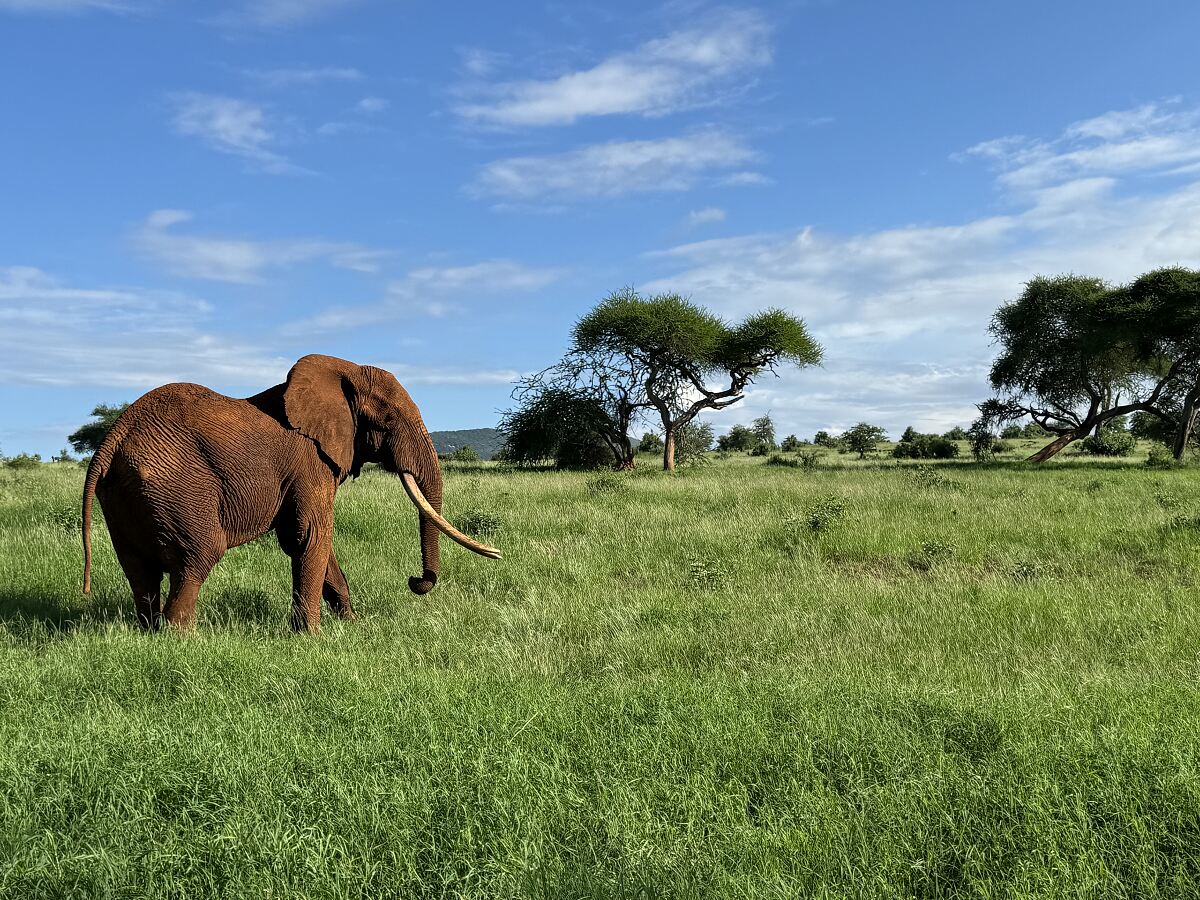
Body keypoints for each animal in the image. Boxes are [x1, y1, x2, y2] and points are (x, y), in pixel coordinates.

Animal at [81, 355, 501, 633]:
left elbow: (312, 542)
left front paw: (350, 626)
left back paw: (148, 633)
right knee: (198, 556)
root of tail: (112, 439)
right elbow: (310, 536)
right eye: (388, 420)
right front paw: (313, 638)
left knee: (139, 569)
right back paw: (181, 639)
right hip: (176, 486)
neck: (342, 371)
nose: (416, 581)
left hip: (125, 495)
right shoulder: (310, 463)